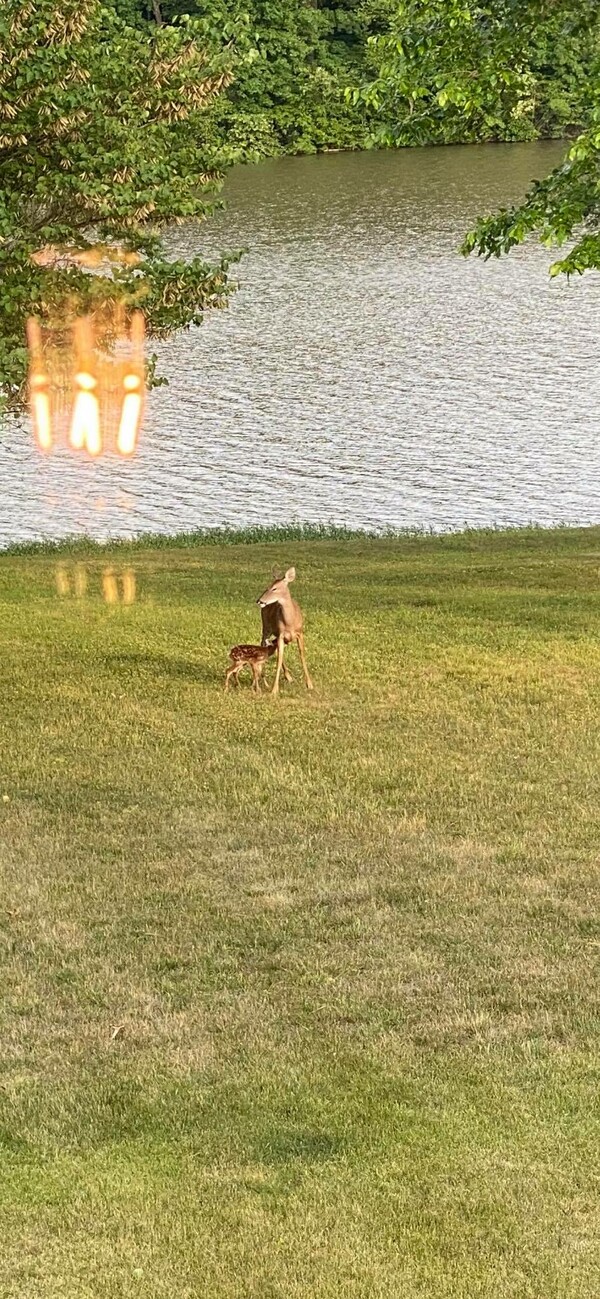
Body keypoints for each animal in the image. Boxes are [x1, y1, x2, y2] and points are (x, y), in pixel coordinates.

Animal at [257, 566, 314, 696]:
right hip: (266, 627)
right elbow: (279, 658)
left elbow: (302, 655)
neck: (290, 622)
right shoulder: (281, 634)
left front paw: (309, 684)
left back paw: (289, 677)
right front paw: (274, 689)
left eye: (274, 588)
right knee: (264, 644)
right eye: (267, 587)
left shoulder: (300, 633)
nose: (259, 601)